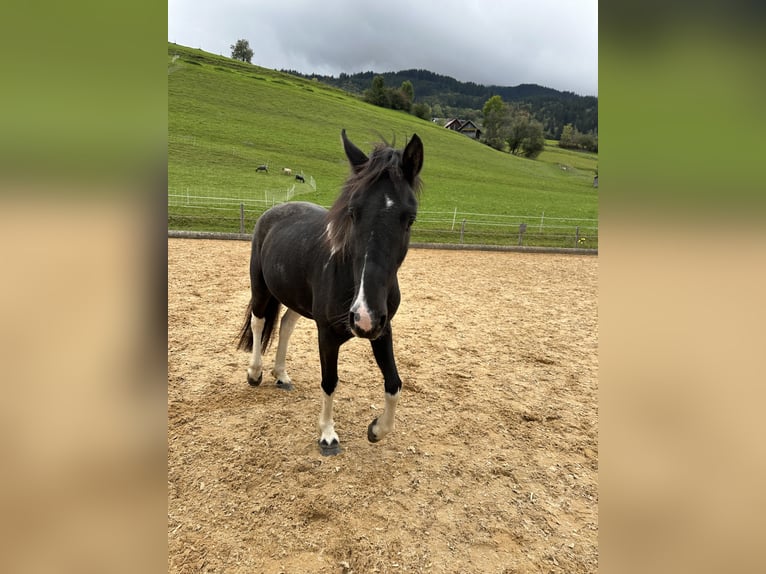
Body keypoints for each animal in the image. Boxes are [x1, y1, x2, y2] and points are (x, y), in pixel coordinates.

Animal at [237, 128, 424, 456]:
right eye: (353, 211)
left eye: (409, 217)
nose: (363, 316)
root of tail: (274, 211)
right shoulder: (327, 334)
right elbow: (330, 381)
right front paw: (327, 434)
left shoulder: (382, 328)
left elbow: (394, 383)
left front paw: (376, 429)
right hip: (260, 287)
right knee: (259, 322)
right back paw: (256, 372)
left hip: (297, 298)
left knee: (285, 324)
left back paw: (280, 375)